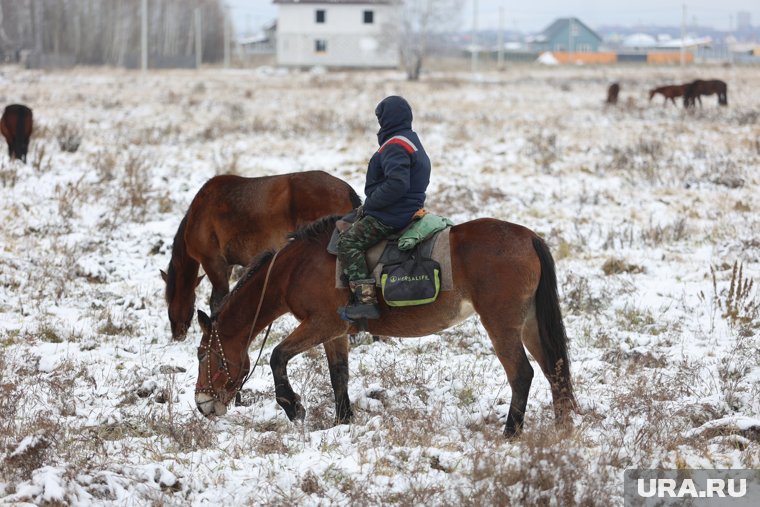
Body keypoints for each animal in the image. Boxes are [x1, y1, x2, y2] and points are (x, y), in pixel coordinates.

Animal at [160, 171, 360, 342]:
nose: (177, 334)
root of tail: (345, 189)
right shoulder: (226, 266)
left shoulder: (212, 262)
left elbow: (217, 300)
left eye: (169, 298)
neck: (198, 214)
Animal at [193, 214, 580, 436]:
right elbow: (338, 375)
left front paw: (293, 407)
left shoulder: (321, 323)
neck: (294, 269)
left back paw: (511, 434)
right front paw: (343, 423)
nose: (201, 404)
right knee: (555, 371)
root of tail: (529, 238)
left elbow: (277, 356)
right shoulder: (335, 333)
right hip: (528, 323)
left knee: (522, 374)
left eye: (201, 355)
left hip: (501, 324)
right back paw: (561, 434)